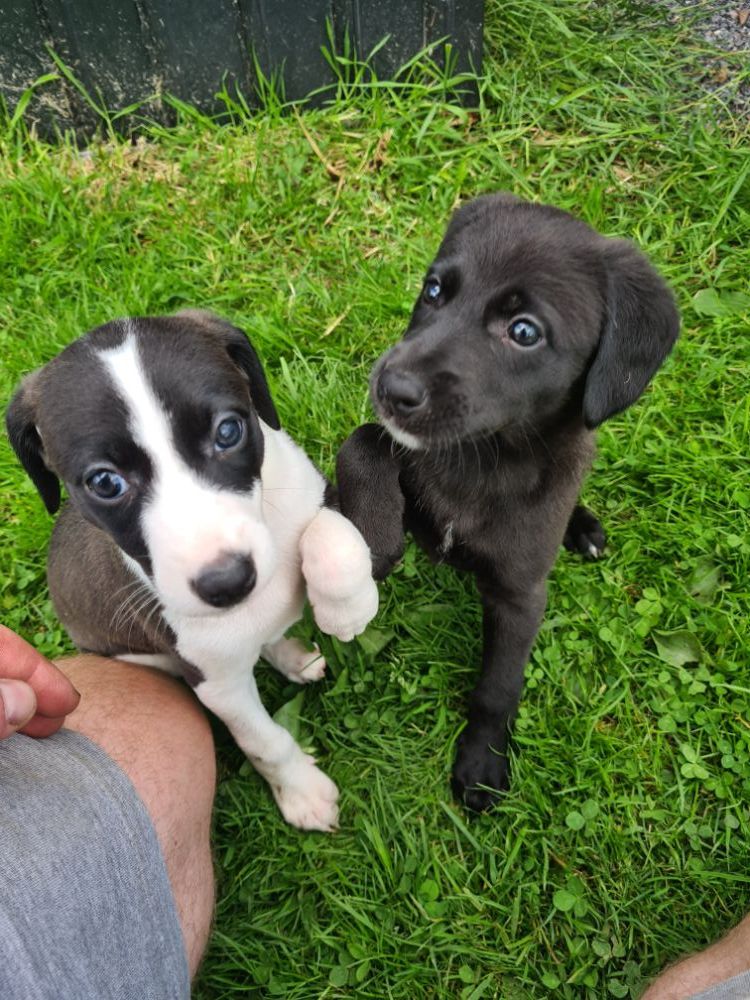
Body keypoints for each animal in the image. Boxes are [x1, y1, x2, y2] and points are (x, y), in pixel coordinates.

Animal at [8, 308, 378, 832]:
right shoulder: (215, 683)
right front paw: (302, 792)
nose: (228, 583)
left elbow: (332, 533)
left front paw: (347, 608)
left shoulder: (314, 489)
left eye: (228, 431)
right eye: (105, 482)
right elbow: (264, 741)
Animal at [338, 193, 680, 812]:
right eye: (433, 291)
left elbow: (499, 685)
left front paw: (481, 760)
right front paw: (372, 534)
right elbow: (363, 441)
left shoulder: (521, 595)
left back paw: (583, 527)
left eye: (523, 331)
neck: (483, 462)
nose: (391, 388)